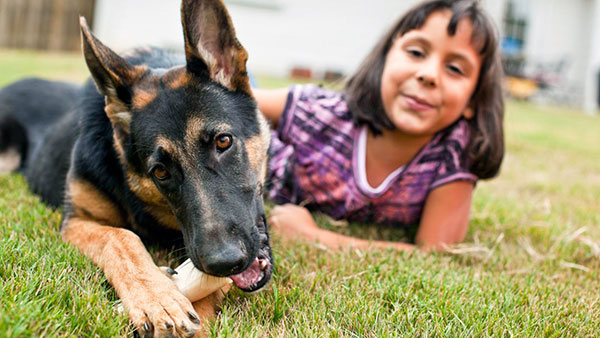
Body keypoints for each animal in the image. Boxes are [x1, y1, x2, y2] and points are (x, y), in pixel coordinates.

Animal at [0, 0, 274, 336]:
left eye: (223, 141)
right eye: (160, 172)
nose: (224, 262)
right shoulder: (78, 220)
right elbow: (121, 238)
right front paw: (157, 298)